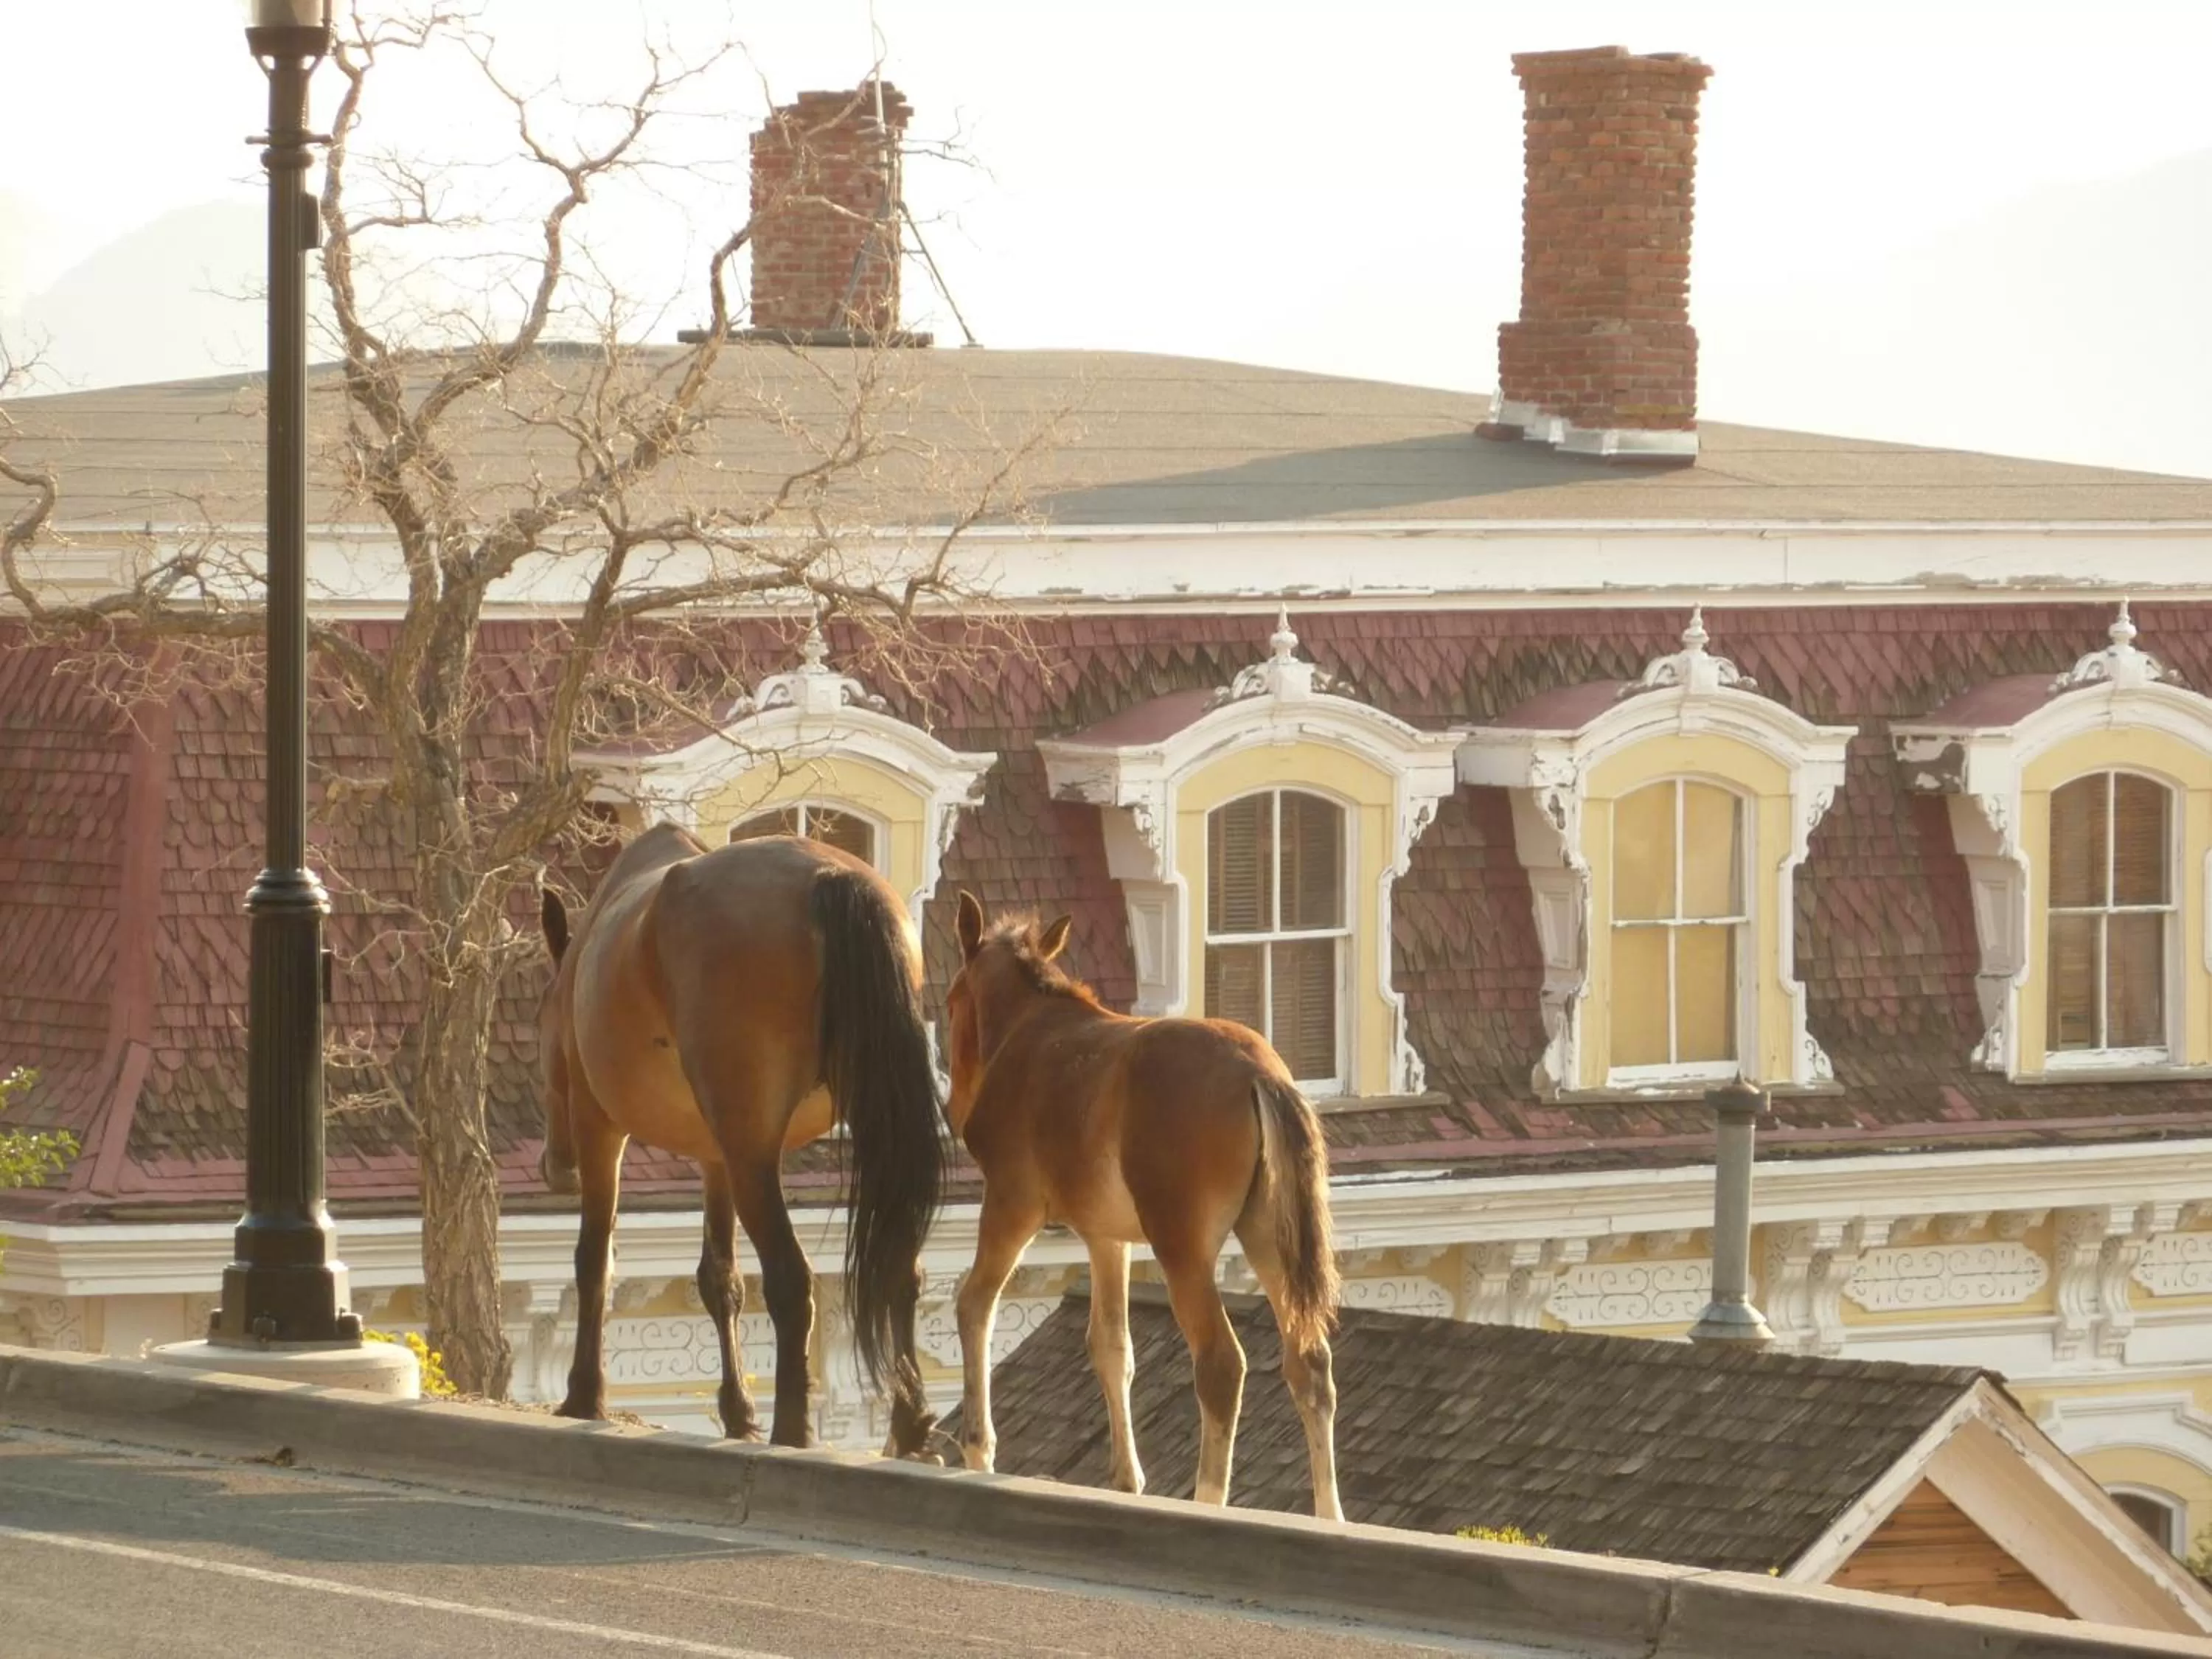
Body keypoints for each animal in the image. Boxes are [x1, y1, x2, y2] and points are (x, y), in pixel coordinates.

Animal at [537, 821, 944, 1454]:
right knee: (898, 1268)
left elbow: (595, 1260)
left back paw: (793, 1428)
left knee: (790, 1279)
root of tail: (829, 879)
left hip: (754, 1158)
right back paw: (909, 1422)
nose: (557, 1167)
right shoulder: (717, 1157)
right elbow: (720, 1279)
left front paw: (584, 1394)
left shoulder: (601, 1127)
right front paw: (737, 1412)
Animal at [944, 891, 1343, 1520]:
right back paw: (1330, 1515)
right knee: (1310, 1362)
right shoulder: (1107, 1237)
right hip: (1268, 1233)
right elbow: (1112, 1344)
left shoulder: (1012, 1201)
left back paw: (1209, 1499)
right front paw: (1127, 1479)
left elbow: (976, 1304)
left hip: (1183, 1245)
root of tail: (1260, 1077)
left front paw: (979, 1447)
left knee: (1220, 1363)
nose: (952, 1108)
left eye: (951, 1002)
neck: (1028, 1031)